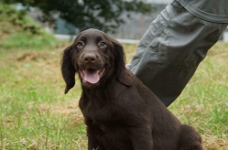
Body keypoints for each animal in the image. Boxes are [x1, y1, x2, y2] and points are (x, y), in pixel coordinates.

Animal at [61, 28, 203, 150]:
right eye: (79, 44)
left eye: (102, 43)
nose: (89, 58)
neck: (99, 93)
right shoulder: (92, 130)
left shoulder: (140, 128)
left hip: (190, 133)